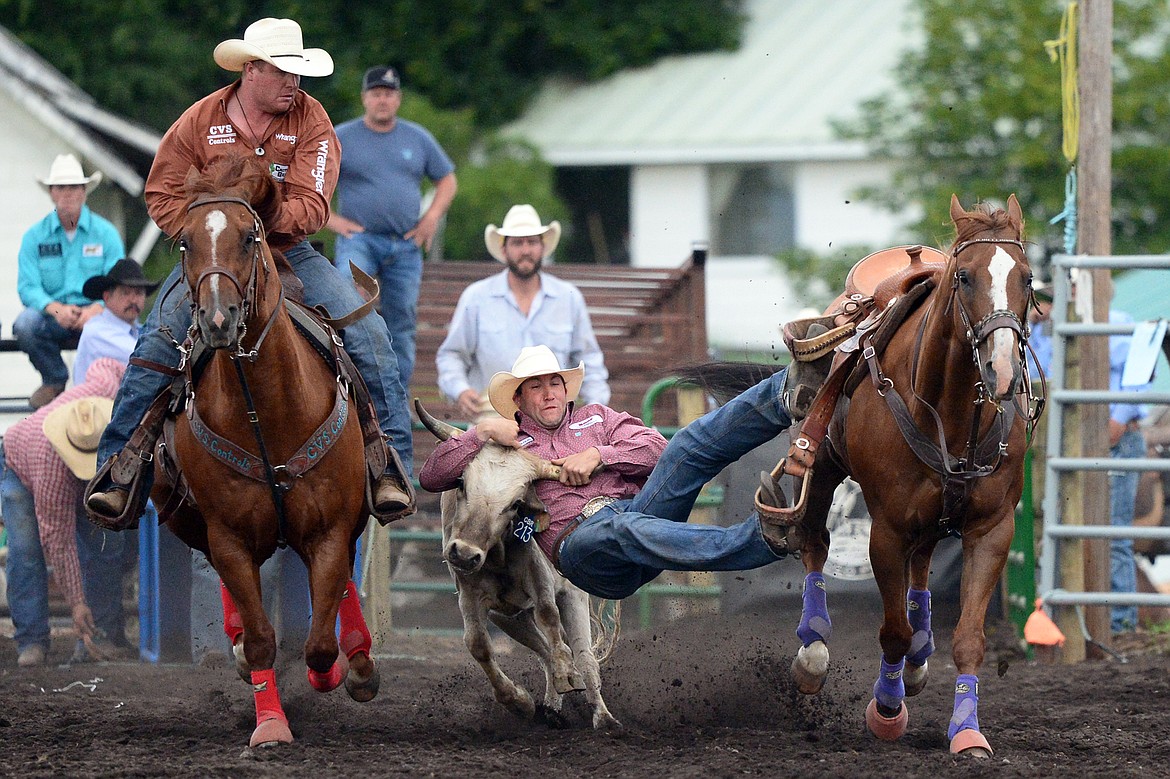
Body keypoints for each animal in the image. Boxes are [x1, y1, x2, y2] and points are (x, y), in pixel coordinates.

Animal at [155, 153, 379, 748]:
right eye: (184, 241)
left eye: (249, 234)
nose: (217, 320)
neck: (266, 412)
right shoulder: (228, 535)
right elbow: (259, 638)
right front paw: (271, 725)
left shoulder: (329, 528)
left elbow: (319, 642)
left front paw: (334, 674)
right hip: (191, 520)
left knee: (340, 592)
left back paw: (360, 663)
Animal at [790, 192, 1038, 753]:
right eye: (963, 277)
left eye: (1028, 277)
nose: (1003, 372)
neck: (948, 410)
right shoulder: (885, 530)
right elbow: (892, 632)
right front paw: (886, 709)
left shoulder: (993, 529)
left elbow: (968, 639)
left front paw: (967, 732)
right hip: (823, 470)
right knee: (815, 542)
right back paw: (812, 652)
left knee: (922, 567)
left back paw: (922, 658)